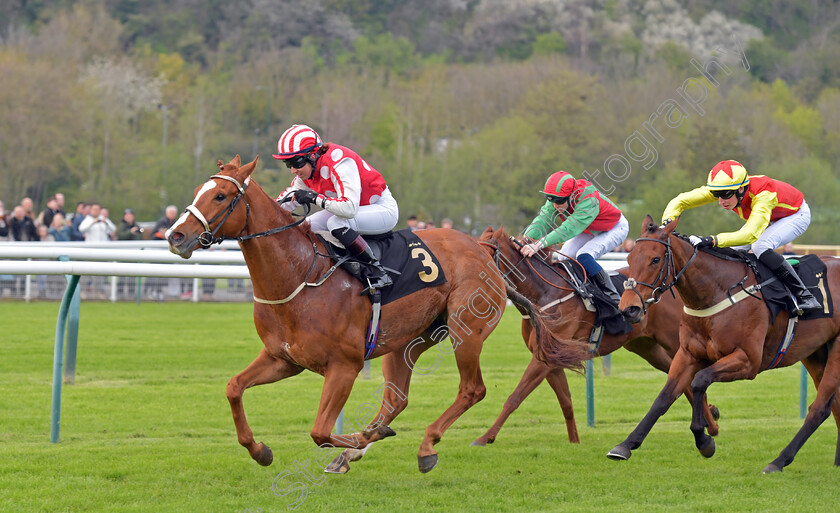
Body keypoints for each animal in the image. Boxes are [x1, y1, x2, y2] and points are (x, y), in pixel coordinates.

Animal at [164, 155, 592, 472]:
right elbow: (234, 387)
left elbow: (319, 430)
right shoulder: (283, 359)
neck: (300, 275)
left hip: (465, 332)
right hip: (409, 341)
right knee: (396, 399)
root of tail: (482, 249)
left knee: (472, 389)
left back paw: (425, 446)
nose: (175, 235)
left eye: (221, 195)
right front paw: (261, 450)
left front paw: (358, 441)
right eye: (201, 191)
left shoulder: (345, 365)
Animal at [472, 226, 720, 446]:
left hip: (675, 342)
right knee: (680, 381)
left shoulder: (544, 359)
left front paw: (485, 438)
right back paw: (711, 419)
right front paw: (575, 441)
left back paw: (711, 422)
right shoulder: (550, 356)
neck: (544, 294)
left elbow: (515, 397)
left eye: (486, 254)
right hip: (647, 348)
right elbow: (566, 402)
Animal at [612, 214, 840, 470]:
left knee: (820, 409)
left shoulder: (748, 360)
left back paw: (778, 461)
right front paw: (625, 445)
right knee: (835, 405)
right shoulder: (688, 354)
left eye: (655, 259)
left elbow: (699, 382)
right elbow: (665, 397)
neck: (715, 292)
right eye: (629, 258)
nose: (628, 309)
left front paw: (704, 440)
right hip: (816, 353)